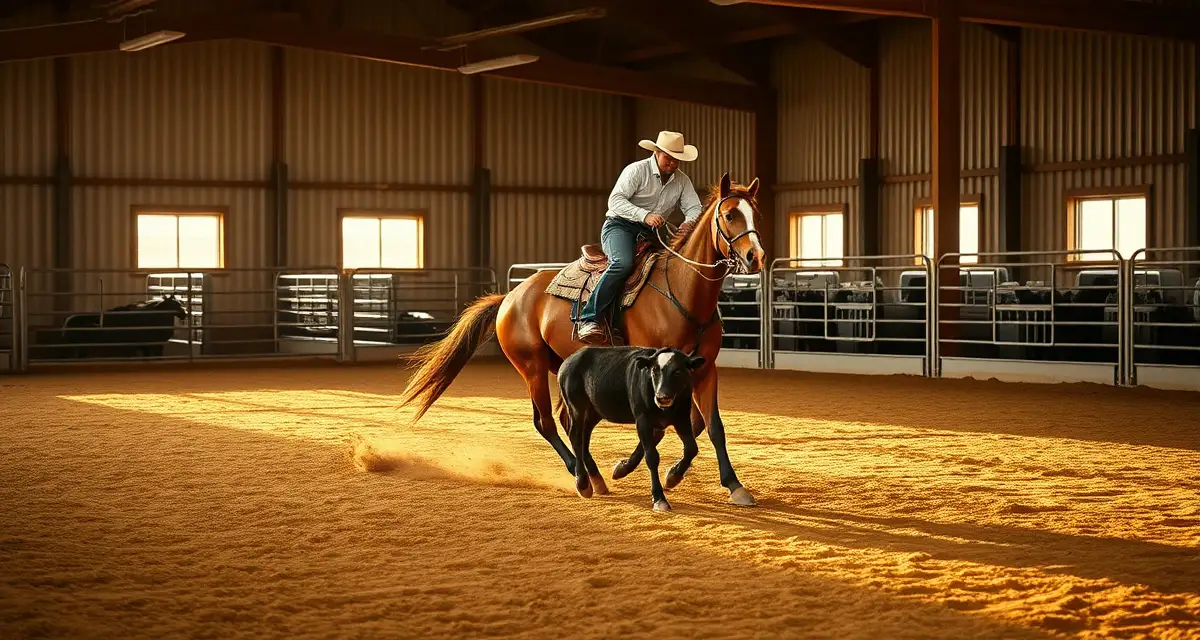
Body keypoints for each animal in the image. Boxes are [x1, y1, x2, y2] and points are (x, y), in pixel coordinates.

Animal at [557, 345, 706, 512]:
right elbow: (651, 456)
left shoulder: (681, 418)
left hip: (594, 411)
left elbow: (691, 448)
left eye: (678, 371)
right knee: (575, 436)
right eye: (654, 371)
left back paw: (597, 481)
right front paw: (659, 499)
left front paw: (672, 476)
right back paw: (583, 483)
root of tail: (568, 361)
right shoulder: (642, 420)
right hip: (576, 407)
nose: (662, 397)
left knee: (584, 436)